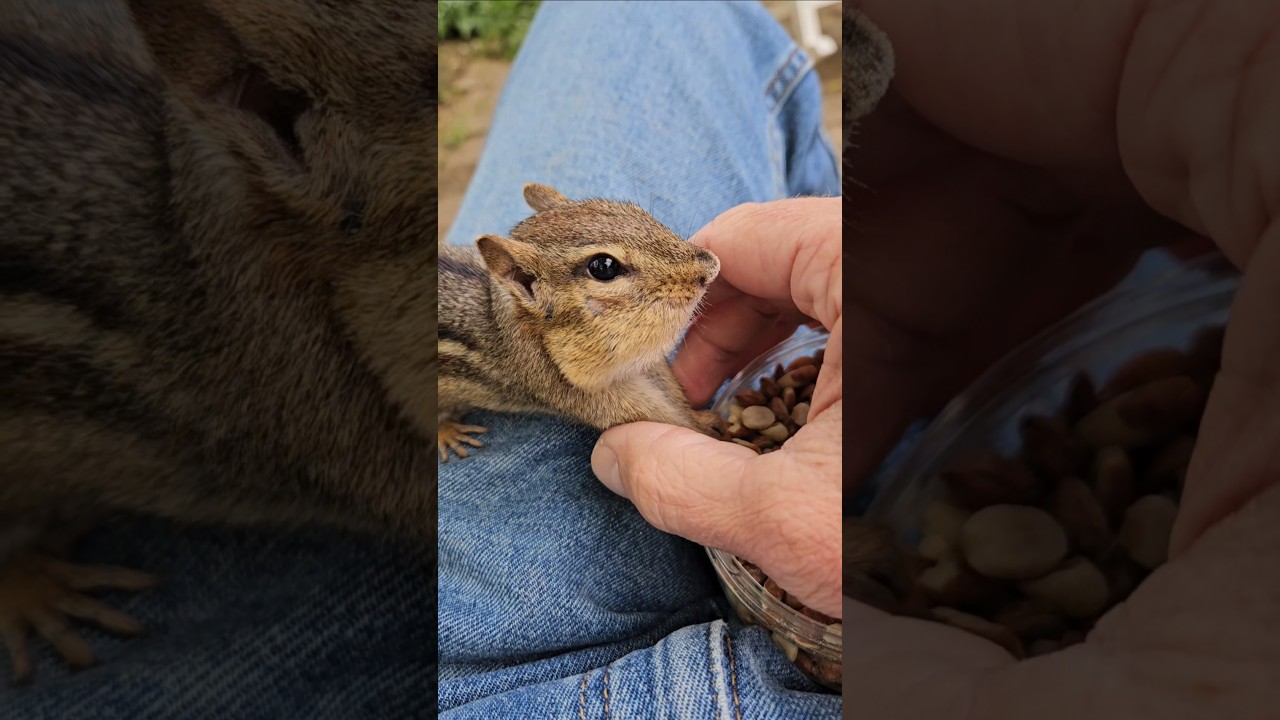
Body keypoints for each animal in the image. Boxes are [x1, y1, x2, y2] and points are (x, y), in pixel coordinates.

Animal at [437, 184, 726, 461]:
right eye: (604, 267)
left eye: (638, 211)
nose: (712, 265)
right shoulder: (577, 393)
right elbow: (660, 416)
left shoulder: (645, 366)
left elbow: (672, 391)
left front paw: (704, 418)